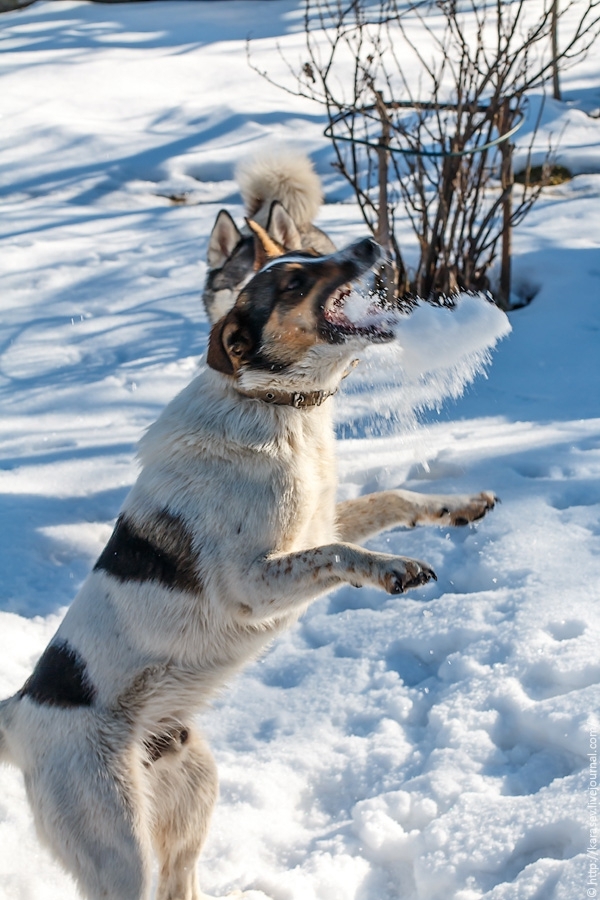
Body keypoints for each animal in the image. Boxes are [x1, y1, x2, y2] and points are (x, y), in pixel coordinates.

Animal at [1, 227, 496, 900]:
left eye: (309, 257)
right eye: (293, 281)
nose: (370, 243)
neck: (279, 405)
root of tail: (19, 711)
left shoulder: (319, 521)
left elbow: (392, 500)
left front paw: (460, 507)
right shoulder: (253, 583)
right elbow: (341, 554)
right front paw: (393, 569)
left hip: (191, 794)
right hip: (117, 845)